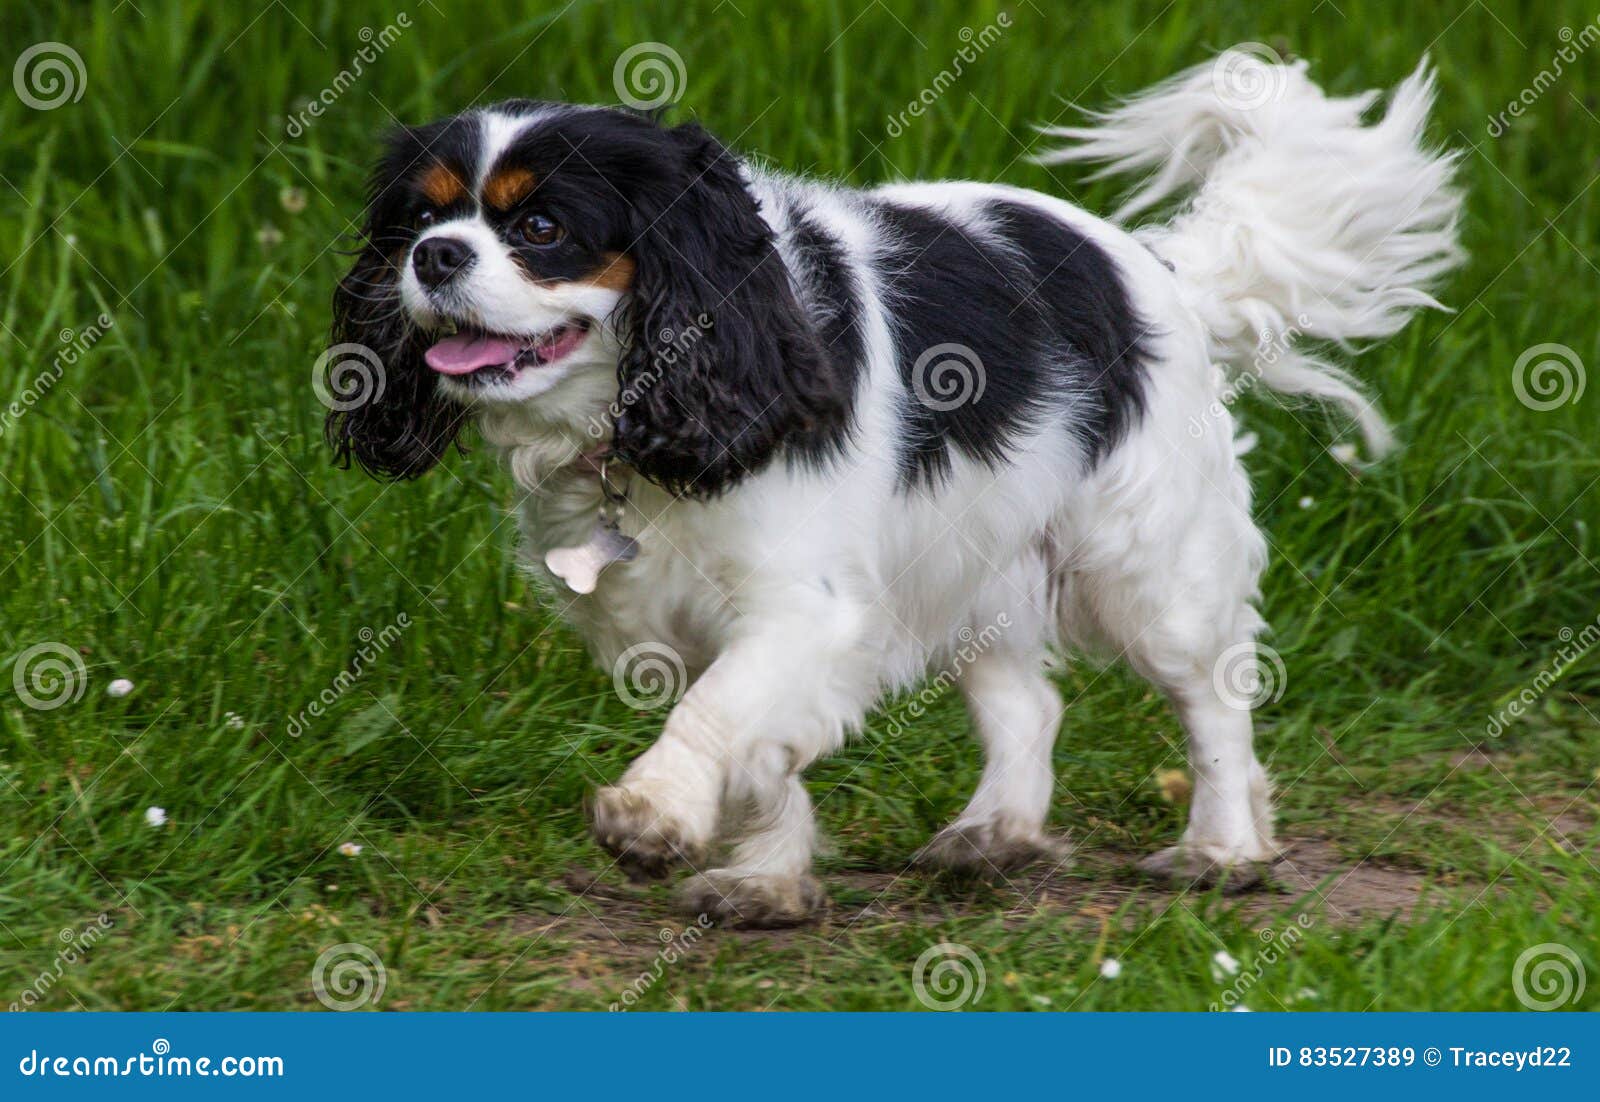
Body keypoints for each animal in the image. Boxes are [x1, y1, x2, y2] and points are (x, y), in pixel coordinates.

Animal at [324, 51, 1465, 921]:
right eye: (417, 221)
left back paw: (1221, 851)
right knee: (1028, 703)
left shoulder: (805, 606)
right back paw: (996, 832)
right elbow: (761, 742)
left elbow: (718, 714)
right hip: (969, 562)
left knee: (1213, 701)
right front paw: (766, 880)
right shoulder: (681, 619)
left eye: (541, 230)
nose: (434, 257)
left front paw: (653, 816)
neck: (633, 419)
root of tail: (1160, 270)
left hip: (1146, 569)